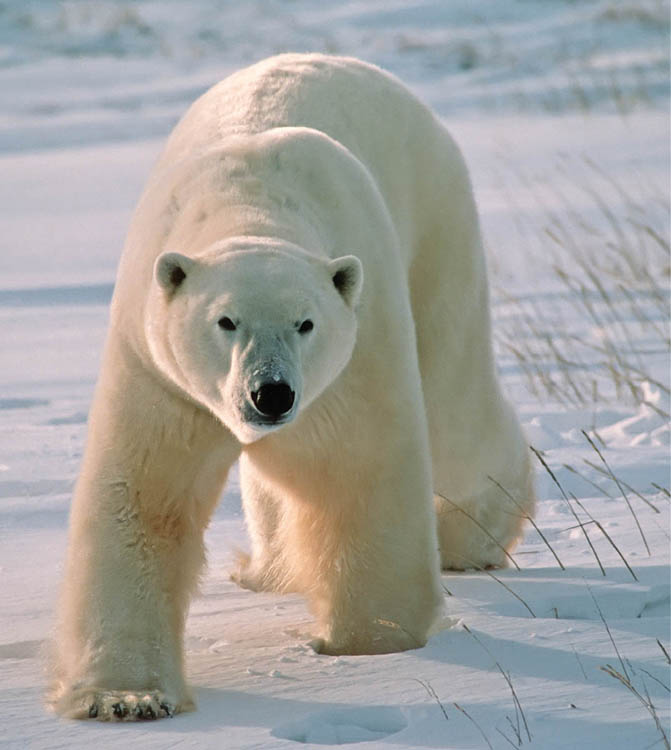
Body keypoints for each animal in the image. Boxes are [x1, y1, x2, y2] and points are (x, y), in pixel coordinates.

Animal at [50, 54, 536, 724]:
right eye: (225, 321)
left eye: (305, 323)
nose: (270, 395)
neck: (249, 205)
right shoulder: (158, 372)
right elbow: (143, 499)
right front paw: (126, 698)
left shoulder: (357, 350)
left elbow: (358, 469)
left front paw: (372, 642)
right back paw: (271, 570)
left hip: (438, 231)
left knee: (452, 413)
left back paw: (471, 538)